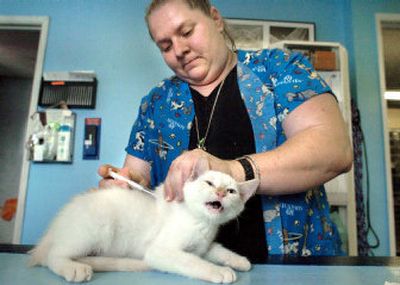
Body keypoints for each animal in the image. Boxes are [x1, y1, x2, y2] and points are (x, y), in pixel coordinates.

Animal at [28, 160, 260, 282]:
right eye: (209, 183)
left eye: (231, 191)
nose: (220, 193)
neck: (203, 223)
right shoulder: (160, 251)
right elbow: (192, 261)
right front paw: (219, 271)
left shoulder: (203, 246)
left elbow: (217, 250)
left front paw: (238, 260)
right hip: (96, 226)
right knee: (51, 256)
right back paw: (73, 268)